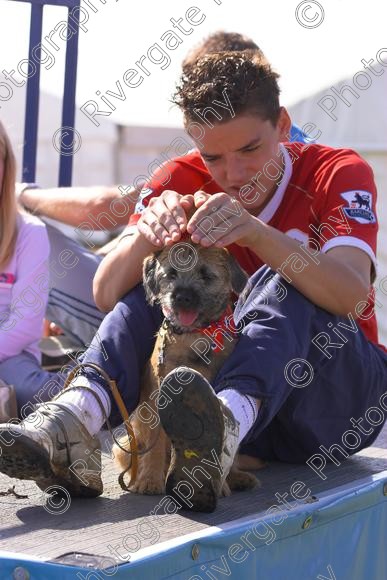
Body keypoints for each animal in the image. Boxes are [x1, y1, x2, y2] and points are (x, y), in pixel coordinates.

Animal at [113, 240, 262, 498]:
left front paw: (221, 482)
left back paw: (235, 478)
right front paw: (149, 481)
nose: (182, 297)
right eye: (171, 274)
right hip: (125, 446)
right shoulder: (156, 400)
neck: (195, 336)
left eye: (206, 275)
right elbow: (155, 445)